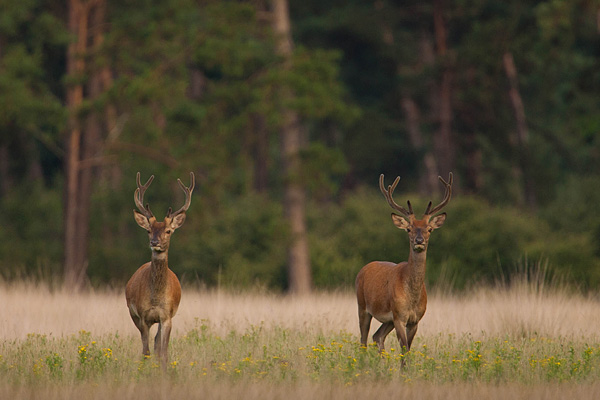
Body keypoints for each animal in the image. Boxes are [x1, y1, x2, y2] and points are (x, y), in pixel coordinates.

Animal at [125, 171, 195, 368]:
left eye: (168, 231)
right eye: (148, 230)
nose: (154, 242)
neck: (156, 298)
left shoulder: (167, 316)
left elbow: (163, 352)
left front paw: (164, 370)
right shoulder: (143, 316)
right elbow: (145, 351)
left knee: (157, 344)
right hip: (133, 314)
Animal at [354, 172, 452, 362]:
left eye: (429, 229)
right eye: (409, 229)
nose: (419, 241)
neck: (412, 296)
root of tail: (364, 268)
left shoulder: (415, 320)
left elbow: (407, 349)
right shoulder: (399, 316)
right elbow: (404, 348)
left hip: (388, 319)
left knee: (377, 336)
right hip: (362, 306)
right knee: (363, 340)